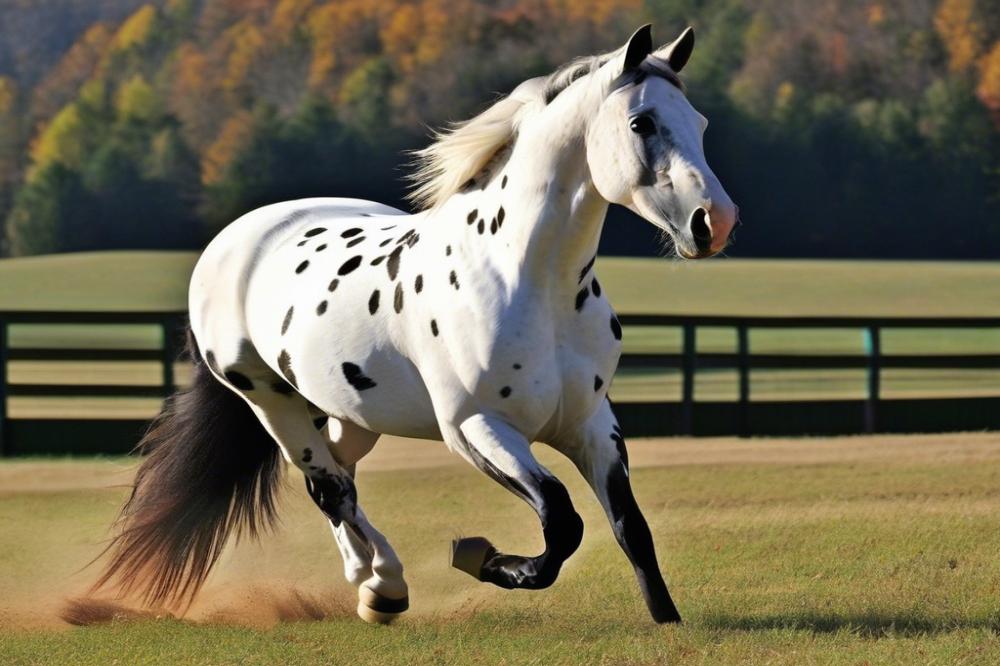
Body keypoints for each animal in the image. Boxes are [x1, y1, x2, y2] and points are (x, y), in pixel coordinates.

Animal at [95, 24, 736, 624]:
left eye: (701, 123)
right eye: (642, 122)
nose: (715, 222)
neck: (524, 278)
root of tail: (234, 239)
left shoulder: (591, 423)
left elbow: (630, 526)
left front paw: (668, 620)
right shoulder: (475, 426)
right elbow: (562, 519)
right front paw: (484, 559)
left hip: (353, 410)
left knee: (340, 471)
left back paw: (369, 581)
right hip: (268, 400)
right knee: (328, 485)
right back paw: (387, 586)